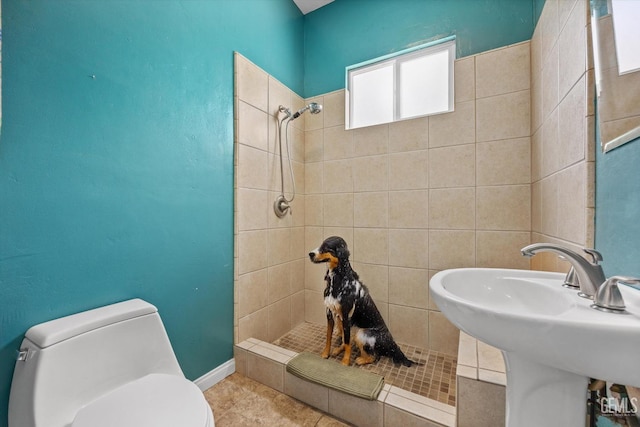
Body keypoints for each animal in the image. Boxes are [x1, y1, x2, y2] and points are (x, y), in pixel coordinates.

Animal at [308, 237, 420, 368]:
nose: (310, 254)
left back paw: (360, 360)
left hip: (361, 332)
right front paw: (325, 353)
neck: (339, 279)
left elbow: (347, 343)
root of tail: (392, 343)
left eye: (327, 247)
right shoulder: (329, 313)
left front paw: (345, 362)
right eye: (321, 244)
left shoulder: (346, 316)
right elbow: (329, 336)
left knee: (375, 356)